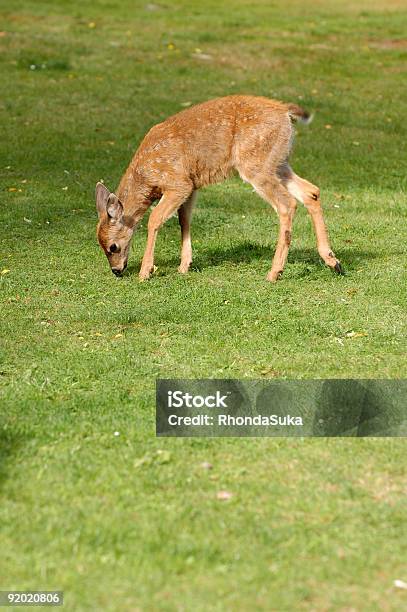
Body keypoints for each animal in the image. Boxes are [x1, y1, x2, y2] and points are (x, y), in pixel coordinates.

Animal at [96, 95, 344, 282]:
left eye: (113, 247)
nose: (116, 271)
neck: (146, 179)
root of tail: (286, 112)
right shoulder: (192, 186)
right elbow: (184, 220)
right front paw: (184, 266)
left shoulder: (178, 183)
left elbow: (154, 219)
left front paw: (146, 272)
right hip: (279, 162)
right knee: (311, 192)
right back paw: (334, 262)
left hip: (256, 164)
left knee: (287, 204)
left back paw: (274, 272)